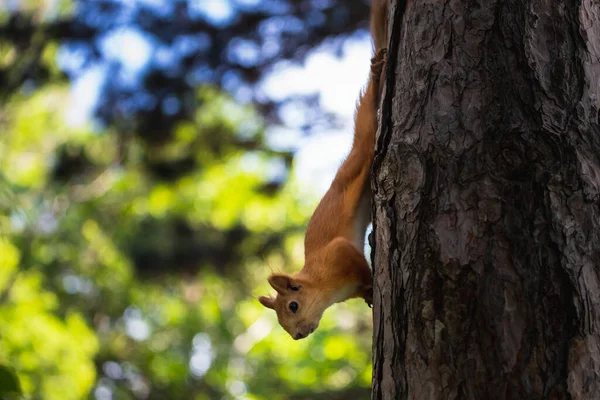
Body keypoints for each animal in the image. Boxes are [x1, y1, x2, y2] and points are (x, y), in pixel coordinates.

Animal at [258, 0, 390, 340]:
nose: (297, 335)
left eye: (293, 306)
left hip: (361, 152)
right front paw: (367, 294)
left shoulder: (338, 254)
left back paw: (377, 73)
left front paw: (369, 282)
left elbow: (355, 259)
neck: (322, 285)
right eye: (280, 322)